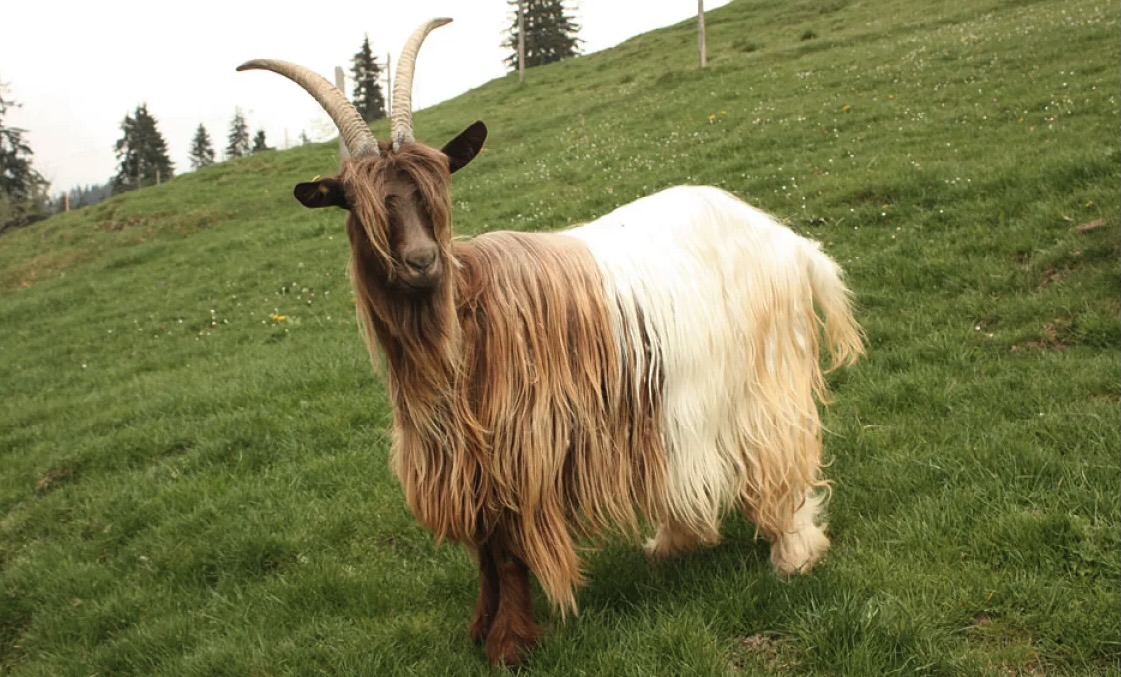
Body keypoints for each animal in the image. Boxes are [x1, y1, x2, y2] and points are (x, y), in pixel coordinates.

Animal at [238, 17, 863, 666]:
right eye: (357, 206)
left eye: (434, 192)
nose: (422, 261)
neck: (466, 317)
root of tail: (788, 241)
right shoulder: (469, 464)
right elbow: (485, 553)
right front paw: (480, 630)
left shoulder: (520, 448)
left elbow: (509, 551)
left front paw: (510, 645)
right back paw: (673, 543)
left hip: (763, 375)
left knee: (781, 455)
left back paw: (793, 552)